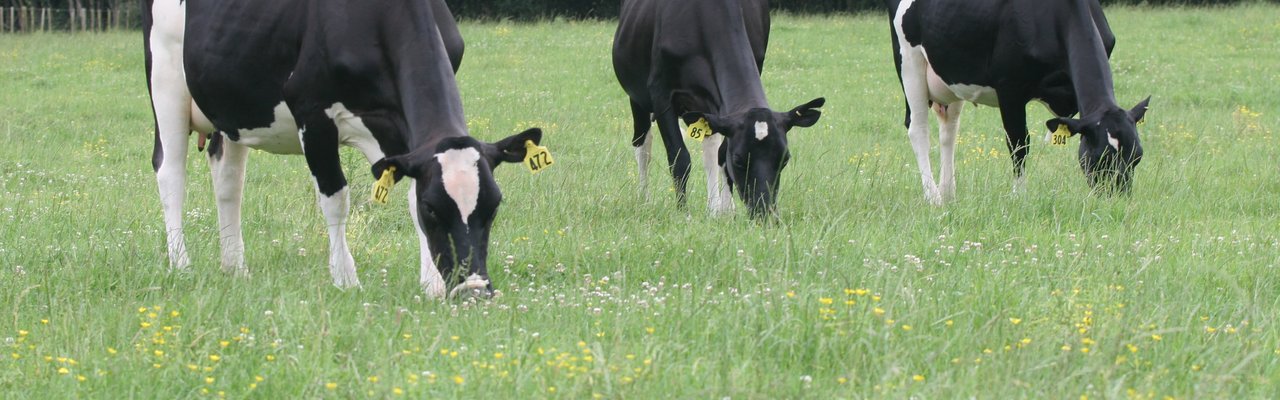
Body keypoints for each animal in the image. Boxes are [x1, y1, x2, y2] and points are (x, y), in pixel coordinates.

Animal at [142, 0, 544, 299]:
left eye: (494, 205)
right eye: (434, 209)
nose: (474, 290)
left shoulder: (400, 130)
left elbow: (409, 193)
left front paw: (429, 283)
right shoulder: (312, 112)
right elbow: (335, 199)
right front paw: (346, 280)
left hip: (232, 107)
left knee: (227, 181)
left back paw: (235, 268)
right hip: (166, 81)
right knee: (170, 173)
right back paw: (181, 265)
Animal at [613, 0, 825, 219]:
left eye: (785, 159)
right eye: (738, 160)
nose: (765, 213)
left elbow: (721, 155)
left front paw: (724, 210)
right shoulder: (661, 94)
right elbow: (679, 158)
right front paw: (683, 213)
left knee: (710, 147)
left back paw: (714, 206)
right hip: (637, 97)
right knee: (642, 143)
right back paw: (644, 200)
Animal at [886, 0, 1150, 205]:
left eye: (1137, 156)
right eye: (1099, 157)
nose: (1118, 200)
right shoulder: (1010, 89)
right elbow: (1019, 143)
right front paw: (1018, 196)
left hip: (951, 73)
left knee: (949, 130)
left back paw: (948, 193)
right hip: (909, 62)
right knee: (918, 129)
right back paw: (934, 198)